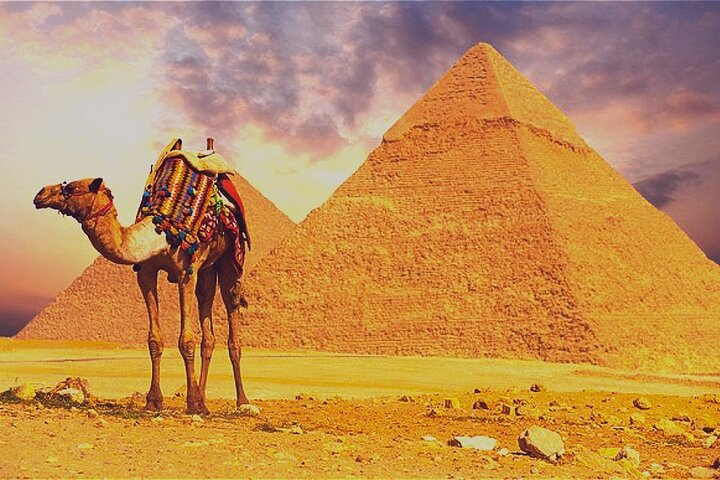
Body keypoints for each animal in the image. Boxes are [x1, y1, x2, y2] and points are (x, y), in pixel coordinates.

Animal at [33, 139, 250, 415]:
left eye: (70, 188)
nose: (40, 194)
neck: (161, 232)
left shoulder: (185, 273)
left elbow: (186, 340)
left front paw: (191, 403)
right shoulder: (146, 273)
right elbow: (154, 340)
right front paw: (154, 401)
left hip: (230, 259)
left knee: (232, 319)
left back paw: (241, 401)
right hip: (207, 269)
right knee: (208, 331)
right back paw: (204, 399)